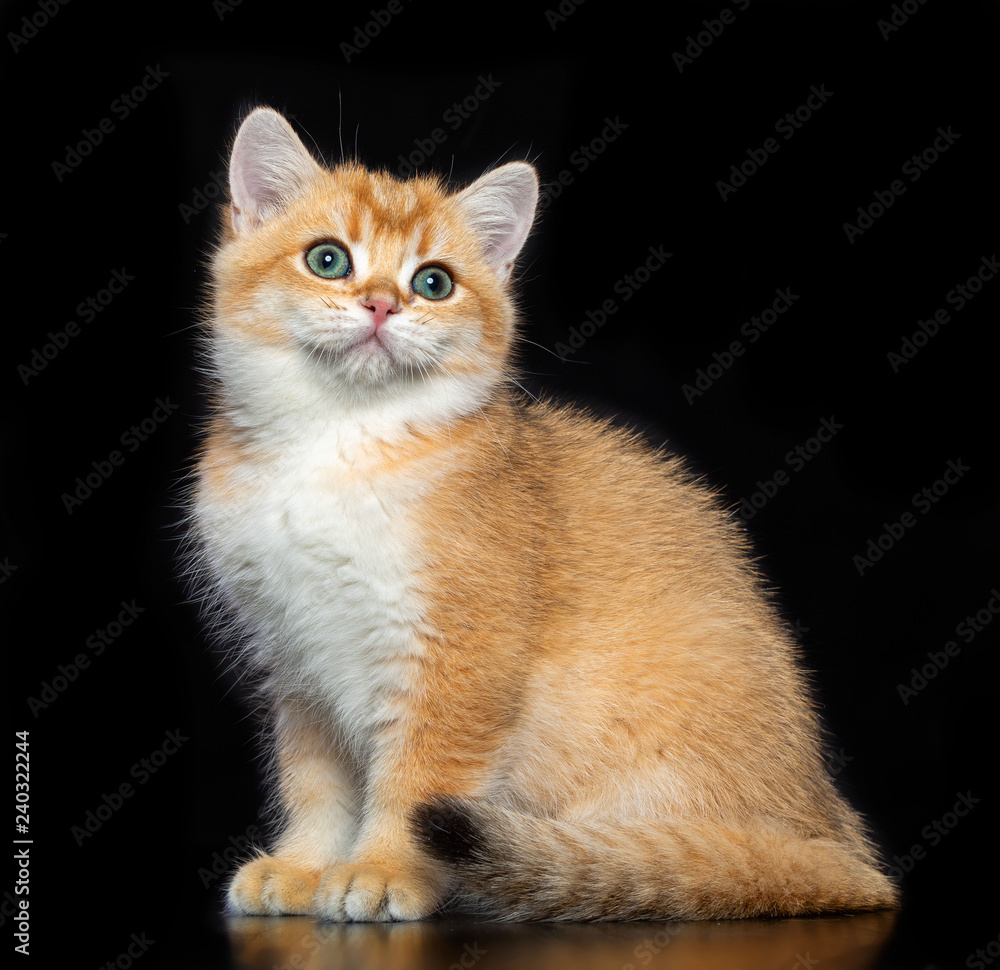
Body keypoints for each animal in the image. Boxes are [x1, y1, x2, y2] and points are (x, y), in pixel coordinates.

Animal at [188, 106, 900, 924]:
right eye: (328, 259)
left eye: (433, 282)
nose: (383, 304)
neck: (336, 446)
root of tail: (837, 841)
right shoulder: (297, 661)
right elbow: (315, 780)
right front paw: (306, 865)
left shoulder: (461, 655)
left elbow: (419, 779)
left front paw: (385, 868)